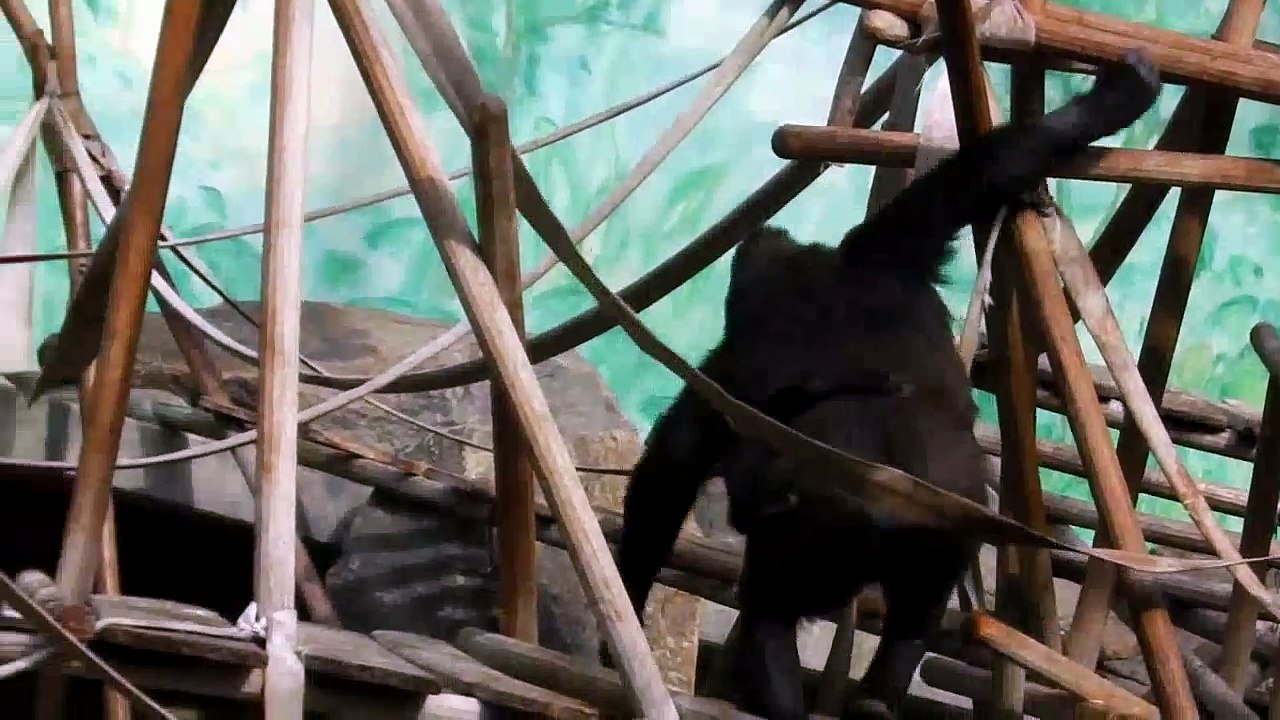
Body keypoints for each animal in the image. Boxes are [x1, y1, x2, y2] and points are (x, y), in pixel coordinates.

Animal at [608, 48, 1161, 719]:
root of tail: (890, 501)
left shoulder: (730, 367)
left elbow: (670, 468)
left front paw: (625, 609)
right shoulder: (894, 246)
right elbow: (982, 169)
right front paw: (1116, 98)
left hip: (821, 538)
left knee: (768, 609)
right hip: (941, 540)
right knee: (909, 622)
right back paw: (876, 696)